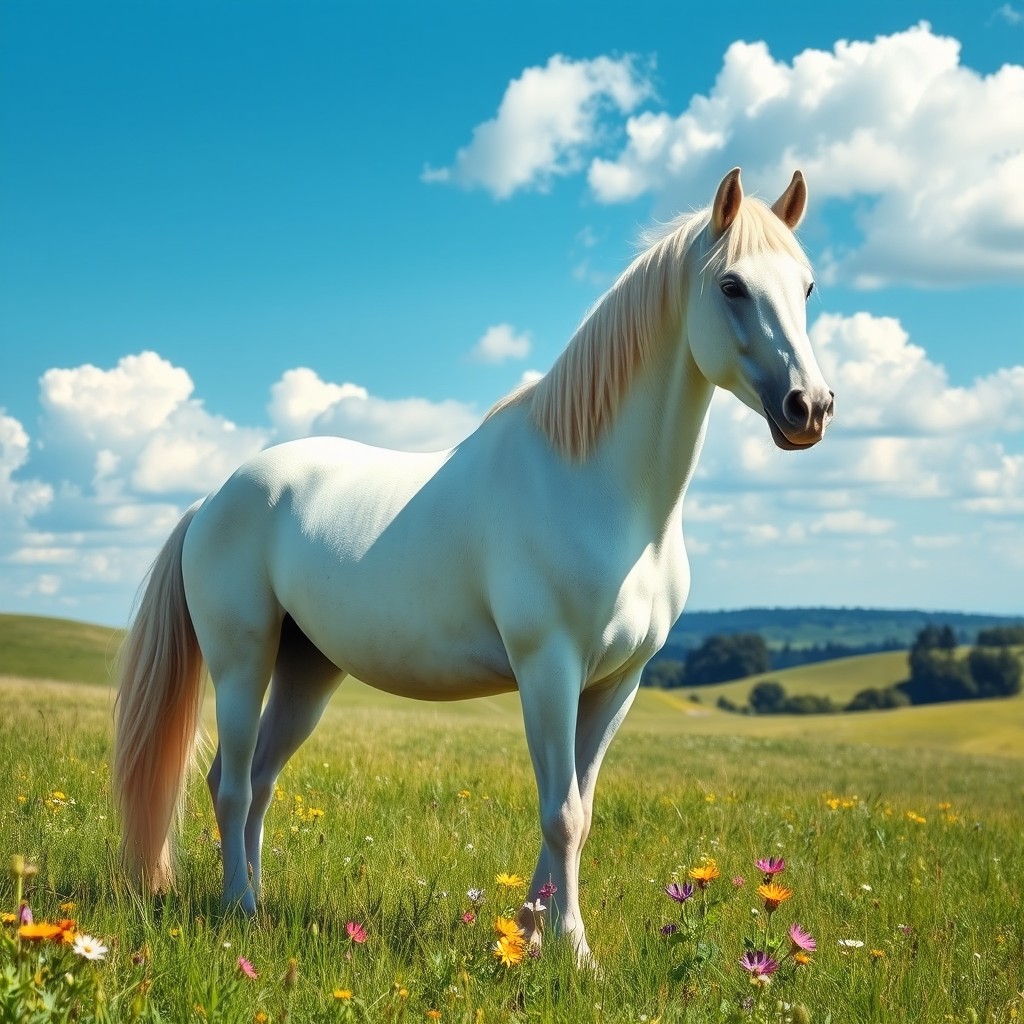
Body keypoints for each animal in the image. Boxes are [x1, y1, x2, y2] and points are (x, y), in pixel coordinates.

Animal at [113, 167, 834, 965]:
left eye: (806, 287)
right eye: (732, 285)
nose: (809, 408)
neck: (597, 489)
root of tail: (212, 498)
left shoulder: (618, 683)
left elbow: (577, 809)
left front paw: (531, 934)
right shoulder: (548, 670)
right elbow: (563, 814)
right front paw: (574, 953)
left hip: (308, 671)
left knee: (260, 783)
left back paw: (259, 904)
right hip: (243, 661)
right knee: (232, 783)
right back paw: (238, 908)